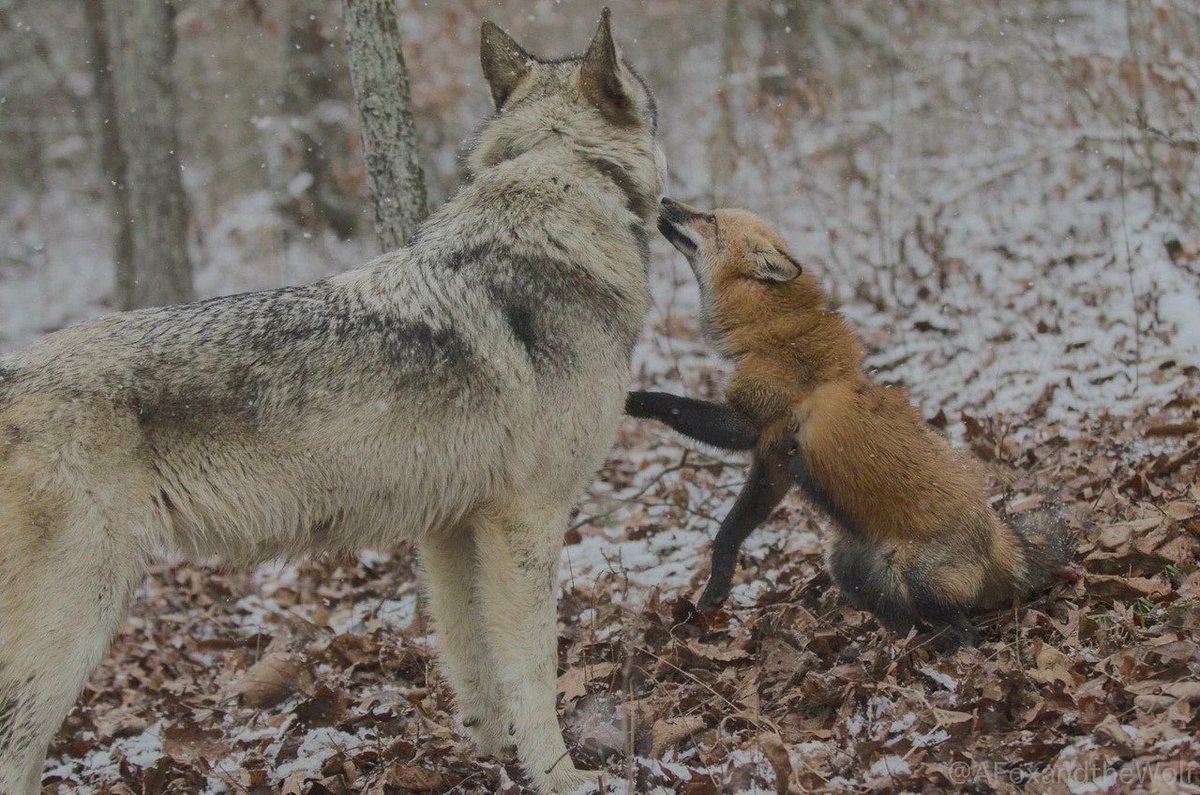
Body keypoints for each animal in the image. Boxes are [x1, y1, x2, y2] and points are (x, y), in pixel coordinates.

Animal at [0, 10, 663, 793]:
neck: (558, 196)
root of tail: (11, 373)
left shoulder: (451, 530)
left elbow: (471, 662)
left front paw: (492, 758)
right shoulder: (527, 520)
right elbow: (534, 672)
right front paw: (563, 777)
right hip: (75, 624)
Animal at [628, 199, 1071, 647]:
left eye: (709, 218)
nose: (665, 201)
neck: (772, 333)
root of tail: (995, 532)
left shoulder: (752, 423)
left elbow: (674, 405)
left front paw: (633, 399)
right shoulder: (775, 462)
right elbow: (729, 531)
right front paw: (717, 586)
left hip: (917, 575)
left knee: (963, 630)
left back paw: (942, 655)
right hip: (846, 565)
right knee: (904, 617)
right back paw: (897, 648)